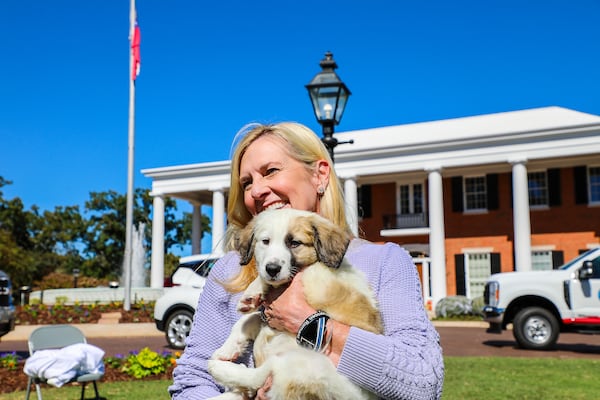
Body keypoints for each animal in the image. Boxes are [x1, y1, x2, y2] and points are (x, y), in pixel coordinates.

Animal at [209, 209, 382, 400]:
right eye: (265, 241)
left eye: (294, 243)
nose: (272, 269)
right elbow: (246, 320)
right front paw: (228, 347)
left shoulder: (317, 280)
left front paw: (256, 290)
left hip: (304, 366)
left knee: (262, 375)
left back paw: (221, 369)